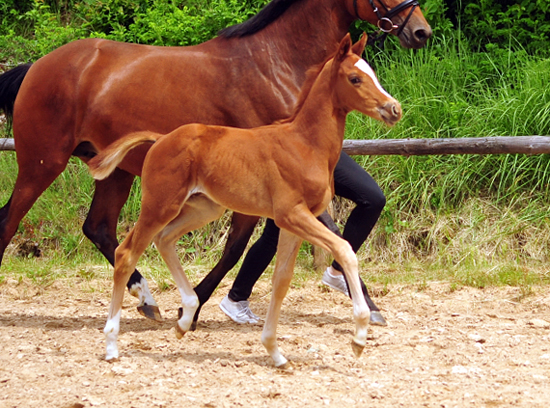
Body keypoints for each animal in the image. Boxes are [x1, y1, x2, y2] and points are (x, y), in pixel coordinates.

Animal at [89, 34, 402, 366]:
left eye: (373, 73)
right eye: (355, 78)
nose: (394, 109)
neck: (305, 144)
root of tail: (160, 139)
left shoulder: (293, 224)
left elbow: (281, 282)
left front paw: (275, 352)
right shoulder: (292, 214)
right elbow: (345, 250)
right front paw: (359, 337)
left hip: (204, 208)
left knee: (164, 240)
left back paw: (185, 319)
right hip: (159, 205)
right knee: (126, 254)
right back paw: (112, 345)